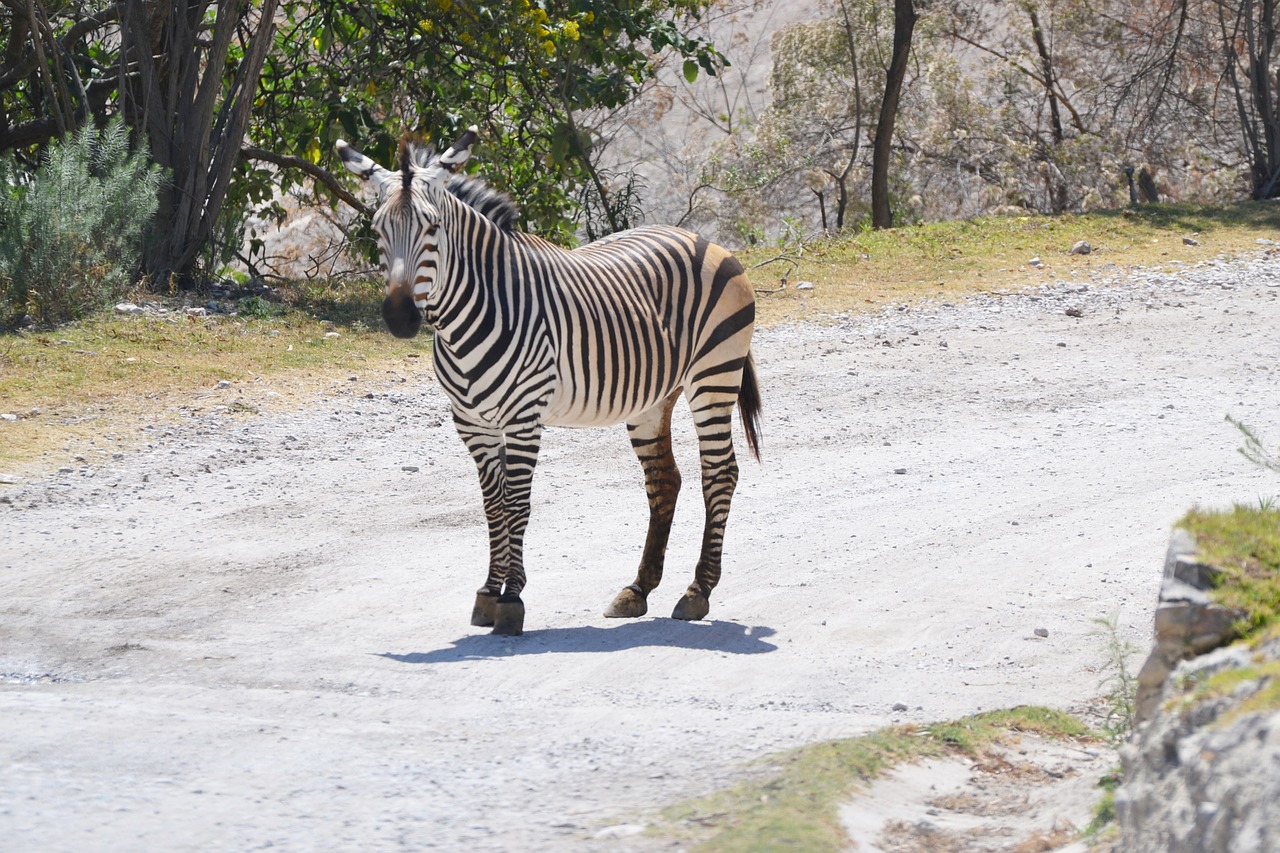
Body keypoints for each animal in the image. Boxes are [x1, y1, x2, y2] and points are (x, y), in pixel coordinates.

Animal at [337, 126, 757, 630]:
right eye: (379, 229)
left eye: (432, 227)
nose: (400, 318)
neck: (470, 314)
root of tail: (700, 238)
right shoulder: (472, 423)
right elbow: (493, 504)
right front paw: (487, 593)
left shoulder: (523, 416)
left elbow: (517, 502)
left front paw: (511, 599)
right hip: (653, 398)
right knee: (664, 480)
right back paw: (637, 590)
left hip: (713, 375)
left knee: (720, 472)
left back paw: (697, 591)